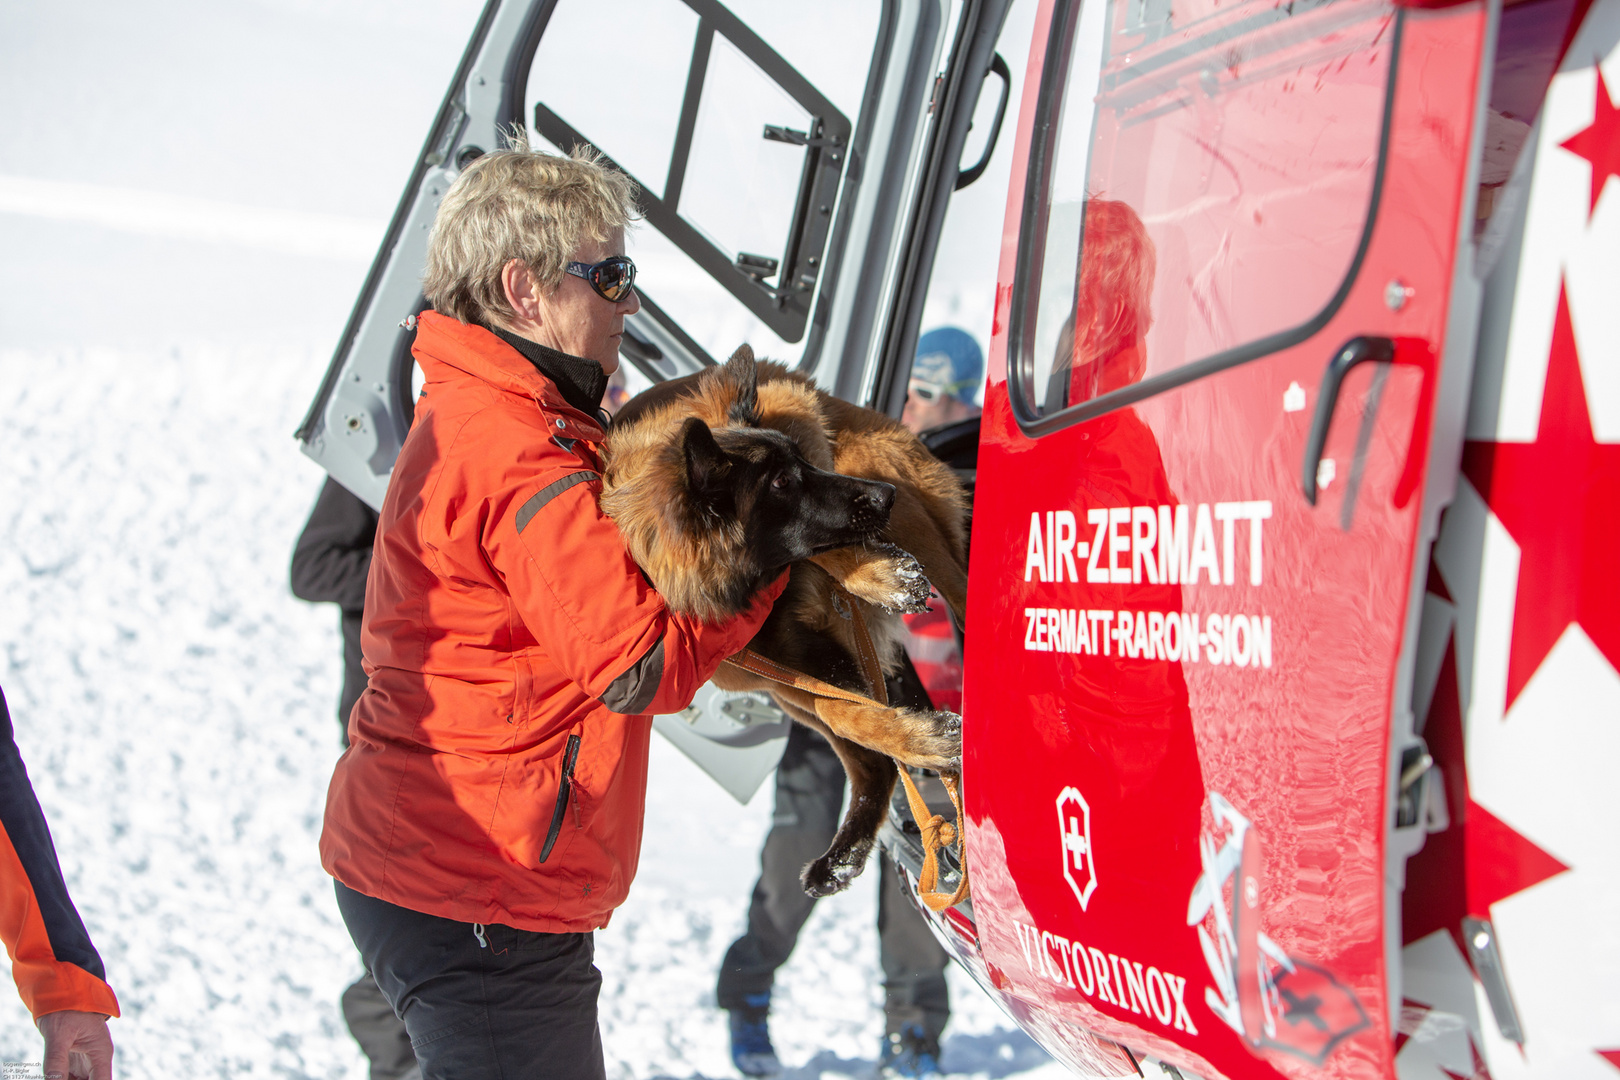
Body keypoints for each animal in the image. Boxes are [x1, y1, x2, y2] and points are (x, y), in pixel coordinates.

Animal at [605, 346, 959, 893]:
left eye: (801, 465)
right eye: (781, 482)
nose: (885, 495)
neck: (746, 587)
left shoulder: (798, 416)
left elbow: (824, 544)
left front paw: (883, 577)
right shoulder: (787, 660)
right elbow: (845, 713)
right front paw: (921, 739)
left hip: (903, 510)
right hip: (787, 690)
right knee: (871, 764)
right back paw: (841, 857)